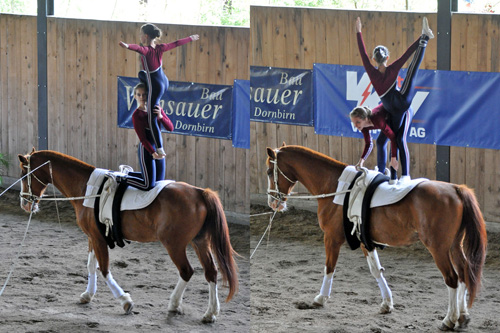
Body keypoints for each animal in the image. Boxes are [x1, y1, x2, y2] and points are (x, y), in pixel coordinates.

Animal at [17, 150, 238, 322]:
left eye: (24, 174)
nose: (25, 204)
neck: (86, 187)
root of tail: (200, 192)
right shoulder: (92, 236)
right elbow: (91, 265)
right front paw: (88, 295)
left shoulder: (98, 239)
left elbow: (104, 269)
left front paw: (125, 301)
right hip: (200, 242)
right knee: (211, 272)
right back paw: (210, 313)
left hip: (174, 244)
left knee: (187, 271)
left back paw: (174, 304)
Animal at [268, 144, 486, 330]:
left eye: (270, 172)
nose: (273, 203)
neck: (335, 185)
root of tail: (456, 189)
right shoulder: (366, 241)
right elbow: (376, 270)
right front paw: (387, 304)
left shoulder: (331, 238)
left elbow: (329, 268)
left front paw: (320, 298)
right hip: (454, 246)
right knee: (464, 273)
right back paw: (462, 317)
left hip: (438, 248)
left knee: (452, 278)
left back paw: (449, 320)